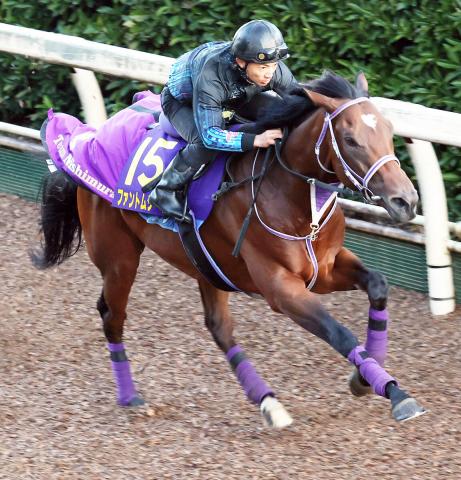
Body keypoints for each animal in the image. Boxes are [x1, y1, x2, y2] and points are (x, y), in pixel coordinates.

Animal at [31, 69, 424, 426]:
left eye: (388, 131)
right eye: (350, 138)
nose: (405, 200)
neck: (292, 196)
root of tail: (89, 135)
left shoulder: (323, 269)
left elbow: (378, 286)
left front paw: (367, 377)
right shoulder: (281, 288)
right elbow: (338, 332)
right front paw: (395, 393)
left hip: (205, 265)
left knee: (218, 327)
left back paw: (268, 402)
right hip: (120, 259)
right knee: (112, 317)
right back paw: (131, 398)